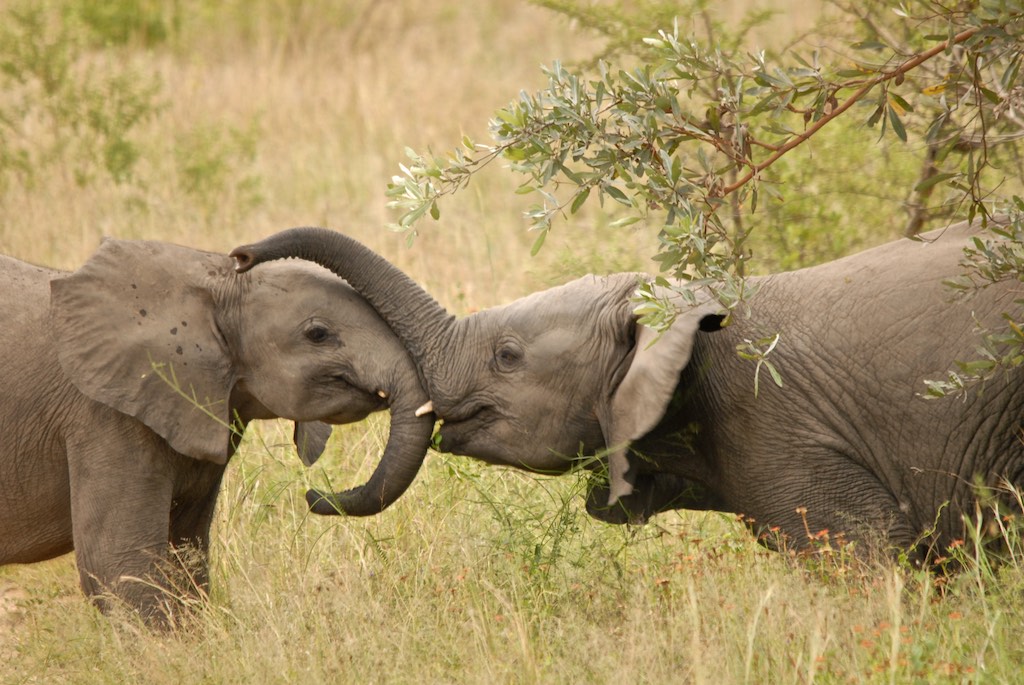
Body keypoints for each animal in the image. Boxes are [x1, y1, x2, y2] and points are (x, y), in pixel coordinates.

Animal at [0, 239, 432, 626]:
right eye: (318, 334)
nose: (313, 496)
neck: (209, 284)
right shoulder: (104, 417)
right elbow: (119, 568)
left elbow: (186, 560)